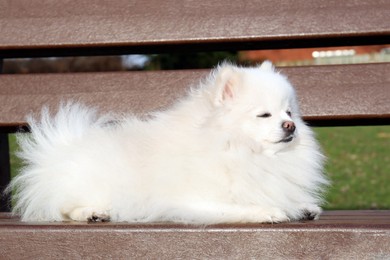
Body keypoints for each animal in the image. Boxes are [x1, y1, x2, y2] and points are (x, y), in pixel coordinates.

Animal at [6, 61, 330, 223]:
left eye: (289, 112)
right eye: (264, 115)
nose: (290, 126)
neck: (238, 149)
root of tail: (58, 150)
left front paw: (301, 206)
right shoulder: (195, 201)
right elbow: (243, 206)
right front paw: (268, 211)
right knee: (65, 207)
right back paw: (92, 213)